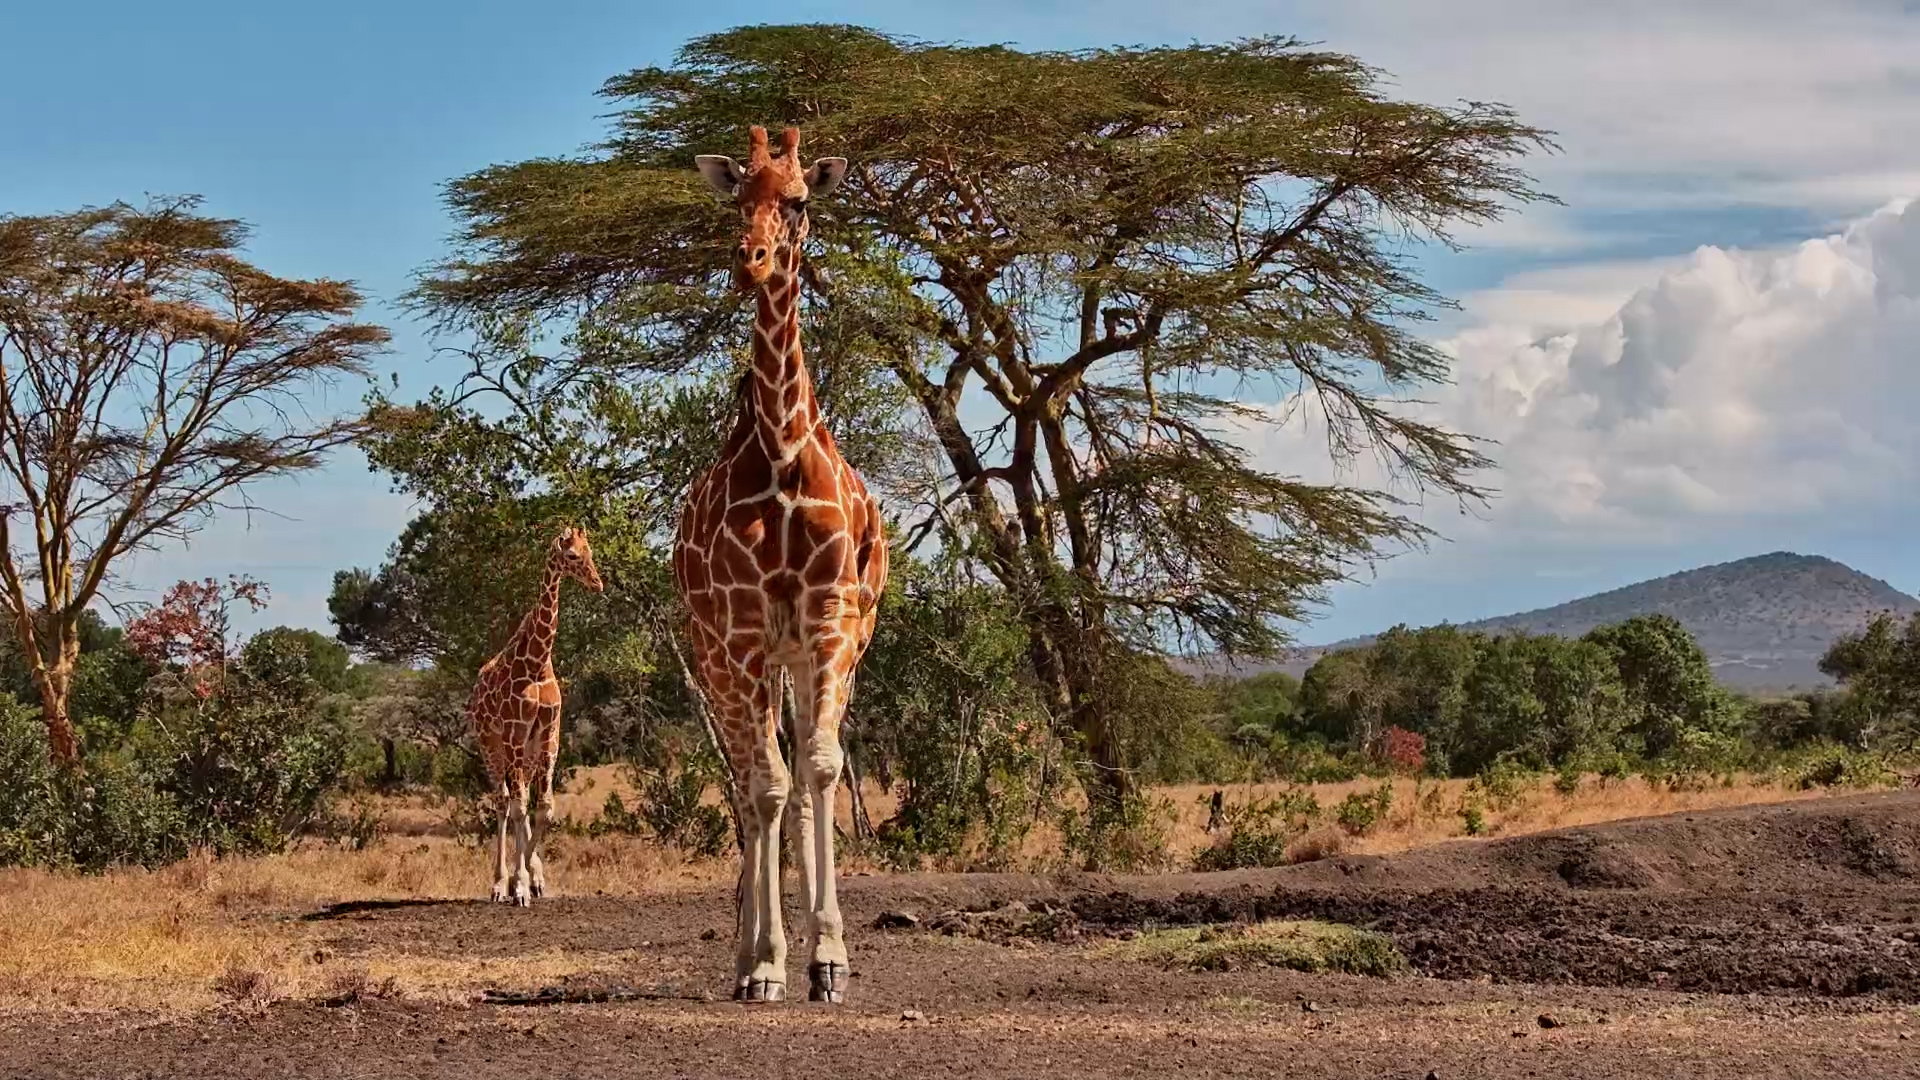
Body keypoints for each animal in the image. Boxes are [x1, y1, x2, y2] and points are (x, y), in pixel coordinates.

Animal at [465, 525, 603, 907]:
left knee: (520, 800)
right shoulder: (514, 733)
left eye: (590, 552)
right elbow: (518, 807)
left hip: (525, 752)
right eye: (572, 555)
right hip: (491, 745)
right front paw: (517, 883)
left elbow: (544, 807)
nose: (598, 583)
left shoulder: (549, 735)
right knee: (502, 803)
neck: (537, 664)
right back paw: (498, 883)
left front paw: (531, 877)